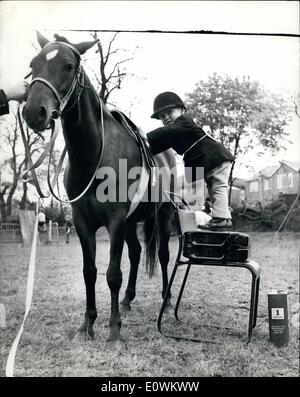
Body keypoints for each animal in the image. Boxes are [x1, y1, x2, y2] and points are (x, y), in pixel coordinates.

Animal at [22, 32, 176, 348]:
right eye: (33, 64)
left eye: (69, 66)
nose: (33, 112)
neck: (95, 156)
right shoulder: (83, 222)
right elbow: (90, 272)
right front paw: (87, 325)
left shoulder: (115, 221)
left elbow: (112, 274)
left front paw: (114, 331)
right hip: (131, 222)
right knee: (136, 253)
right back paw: (128, 300)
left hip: (163, 216)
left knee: (164, 255)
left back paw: (166, 302)